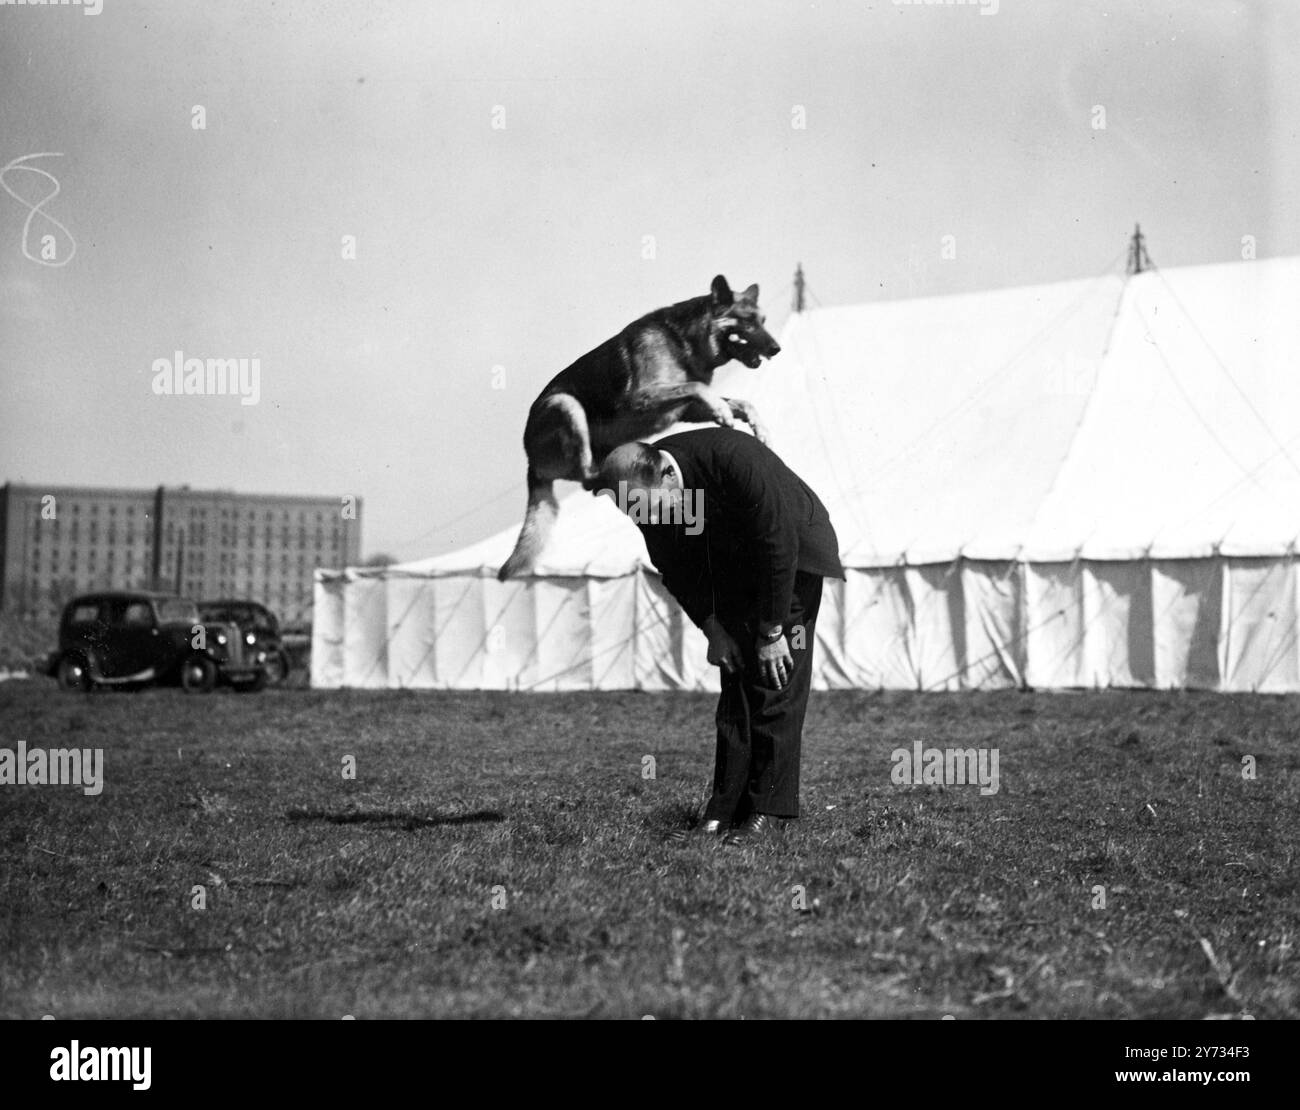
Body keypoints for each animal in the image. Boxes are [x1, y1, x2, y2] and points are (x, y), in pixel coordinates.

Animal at [496, 275, 780, 582]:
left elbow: (741, 402)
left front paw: (758, 428)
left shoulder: (686, 409)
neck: (682, 340)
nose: (776, 349)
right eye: (747, 322)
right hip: (567, 404)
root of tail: (530, 461)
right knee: (586, 476)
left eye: (763, 320)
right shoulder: (639, 398)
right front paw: (723, 413)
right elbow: (698, 386)